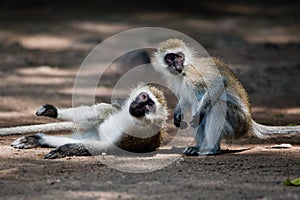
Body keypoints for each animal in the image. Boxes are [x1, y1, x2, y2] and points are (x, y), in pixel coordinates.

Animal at [8, 83, 168, 159]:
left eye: (149, 106)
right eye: (143, 97)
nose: (138, 105)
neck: (132, 119)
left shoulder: (133, 136)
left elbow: (105, 147)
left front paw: (63, 150)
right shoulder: (119, 109)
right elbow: (95, 114)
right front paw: (52, 111)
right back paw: (38, 139)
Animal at [152, 38, 300, 155]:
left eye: (179, 57)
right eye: (170, 58)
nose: (176, 64)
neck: (182, 72)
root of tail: (249, 123)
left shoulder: (193, 73)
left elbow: (219, 82)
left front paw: (198, 113)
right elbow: (187, 98)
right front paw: (177, 113)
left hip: (237, 123)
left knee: (217, 105)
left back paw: (211, 149)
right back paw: (198, 147)